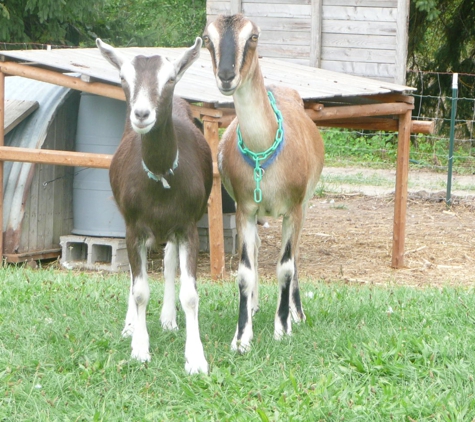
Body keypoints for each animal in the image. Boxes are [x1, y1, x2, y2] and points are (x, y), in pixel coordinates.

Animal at [96, 38, 212, 376]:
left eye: (170, 78)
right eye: (123, 77)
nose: (142, 114)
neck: (160, 175)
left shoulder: (188, 226)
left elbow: (190, 294)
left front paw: (195, 358)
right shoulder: (134, 227)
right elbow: (139, 290)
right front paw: (139, 348)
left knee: (170, 261)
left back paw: (168, 318)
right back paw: (130, 325)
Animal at [203, 15, 326, 352]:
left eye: (253, 36)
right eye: (207, 38)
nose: (226, 75)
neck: (263, 151)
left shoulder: (293, 208)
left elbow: (286, 267)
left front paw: (282, 328)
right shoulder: (245, 208)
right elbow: (244, 271)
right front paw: (241, 337)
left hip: (304, 205)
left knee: (295, 256)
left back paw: (297, 314)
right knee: (257, 250)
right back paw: (255, 305)